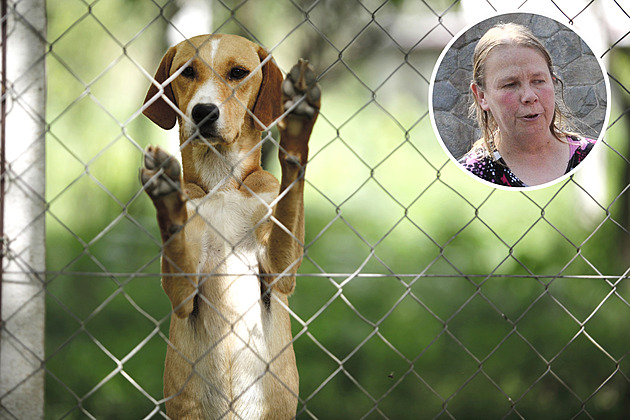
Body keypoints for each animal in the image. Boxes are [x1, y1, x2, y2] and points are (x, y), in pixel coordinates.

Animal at [141, 34, 324, 418]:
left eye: (238, 73)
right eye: (187, 71)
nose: (203, 112)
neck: (222, 180)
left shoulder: (280, 271)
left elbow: (290, 189)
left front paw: (297, 126)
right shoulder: (182, 294)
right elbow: (175, 238)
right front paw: (167, 197)